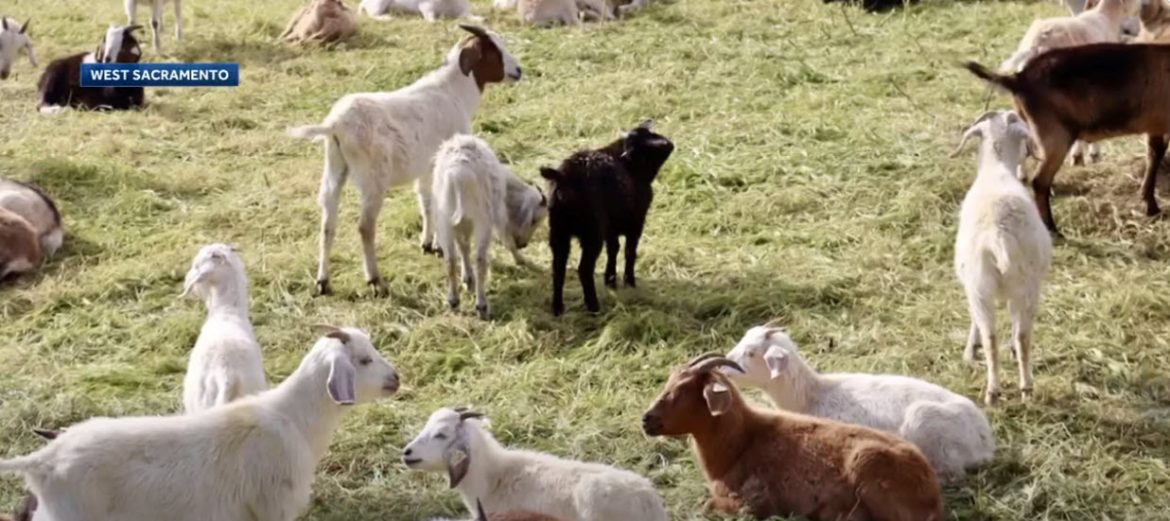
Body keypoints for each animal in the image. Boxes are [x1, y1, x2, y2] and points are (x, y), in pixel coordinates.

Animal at [287, 25, 521, 297]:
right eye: (494, 52)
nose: (518, 71)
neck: (453, 93)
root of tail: (334, 125)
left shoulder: (427, 167)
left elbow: (427, 202)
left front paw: (430, 244)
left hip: (335, 169)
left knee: (328, 223)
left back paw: (323, 281)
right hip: (373, 179)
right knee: (365, 227)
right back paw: (375, 280)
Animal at [539, 120, 673, 316]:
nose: (668, 144)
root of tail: (563, 176)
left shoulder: (611, 228)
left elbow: (614, 249)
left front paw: (610, 281)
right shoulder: (636, 222)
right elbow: (629, 251)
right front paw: (629, 282)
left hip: (559, 231)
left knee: (558, 268)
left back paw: (558, 308)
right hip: (592, 232)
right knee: (584, 269)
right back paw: (593, 306)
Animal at [642, 354, 945, 521]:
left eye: (683, 390)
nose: (647, 419)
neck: (741, 442)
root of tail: (931, 490)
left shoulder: (756, 502)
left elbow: (708, 506)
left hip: (869, 466)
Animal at [966, 43, 1170, 234]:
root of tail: (1018, 78)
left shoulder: (1156, 127)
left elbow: (1154, 155)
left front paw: (1151, 206)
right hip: (1056, 136)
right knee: (1039, 181)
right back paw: (1052, 229)